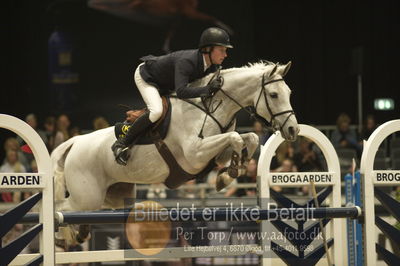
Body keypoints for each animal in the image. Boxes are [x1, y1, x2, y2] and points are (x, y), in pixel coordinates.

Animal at [51, 62, 298, 243]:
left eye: (289, 92)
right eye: (274, 95)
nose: (293, 130)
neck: (211, 108)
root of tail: (75, 142)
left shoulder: (215, 155)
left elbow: (249, 138)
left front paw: (230, 173)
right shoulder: (195, 155)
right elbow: (236, 137)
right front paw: (231, 172)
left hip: (115, 196)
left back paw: (80, 232)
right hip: (86, 198)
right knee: (60, 209)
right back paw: (64, 236)